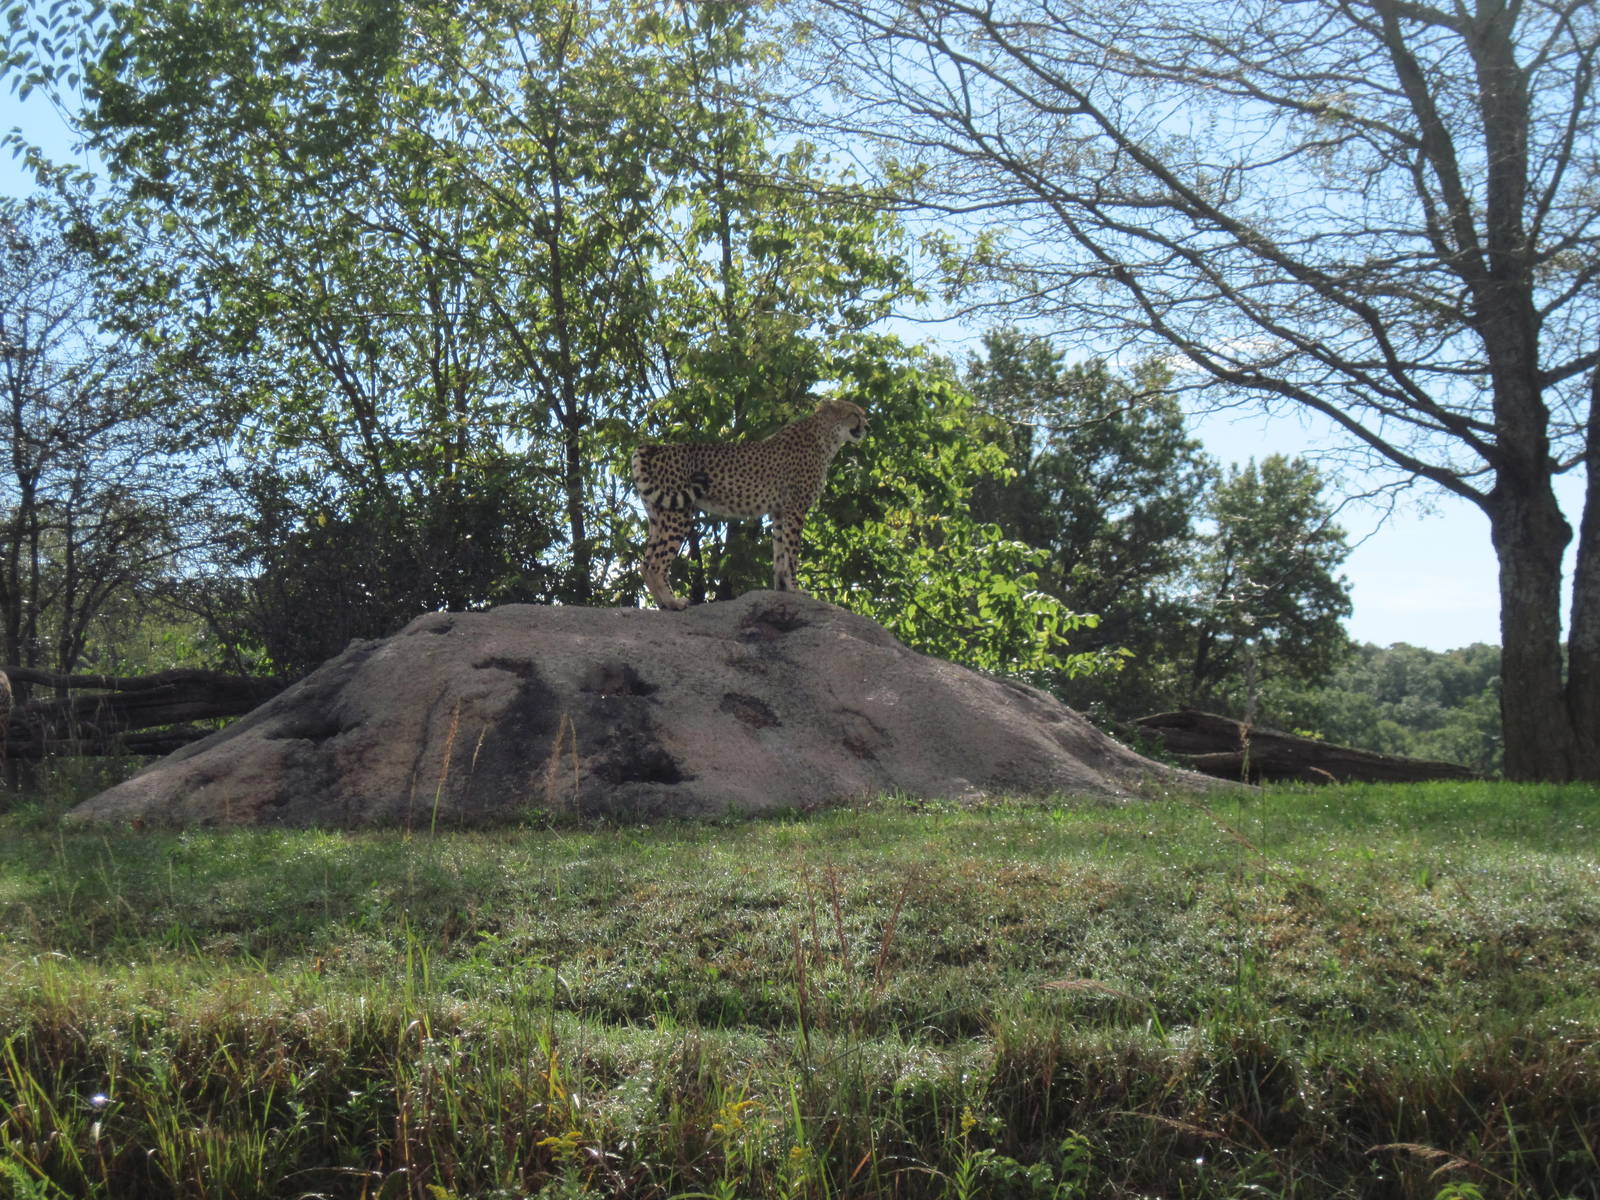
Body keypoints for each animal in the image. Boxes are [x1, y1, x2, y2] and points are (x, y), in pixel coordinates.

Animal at [631, 398, 869, 610]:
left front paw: (782, 590)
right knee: (656, 563)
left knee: (645, 562)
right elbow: (792, 553)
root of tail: (656, 447)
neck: (827, 435)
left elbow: (780, 553)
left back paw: (663, 603)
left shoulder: (779, 511)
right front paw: (795, 589)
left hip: (657, 513)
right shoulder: (796, 508)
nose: (867, 426)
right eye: (854, 414)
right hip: (678, 512)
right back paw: (673, 602)